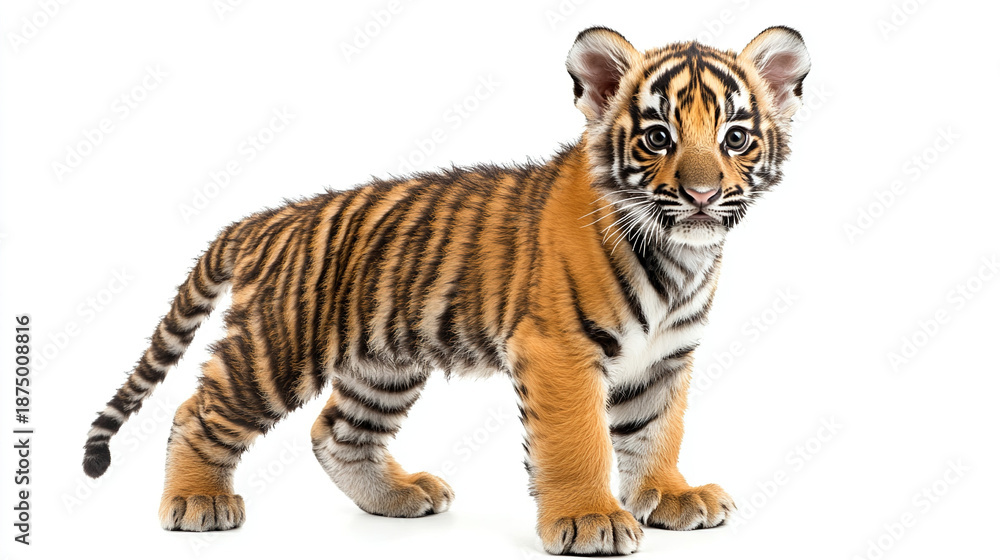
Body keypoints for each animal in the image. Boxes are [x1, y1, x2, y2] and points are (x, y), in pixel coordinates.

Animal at [82, 25, 809, 555]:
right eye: (658, 137)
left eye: (735, 138)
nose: (703, 195)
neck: (678, 257)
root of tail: (271, 219)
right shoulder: (560, 352)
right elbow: (579, 439)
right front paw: (590, 519)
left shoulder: (665, 358)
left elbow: (657, 430)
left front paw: (671, 496)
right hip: (278, 347)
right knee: (198, 411)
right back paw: (197, 502)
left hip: (383, 362)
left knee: (337, 432)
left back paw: (397, 499)